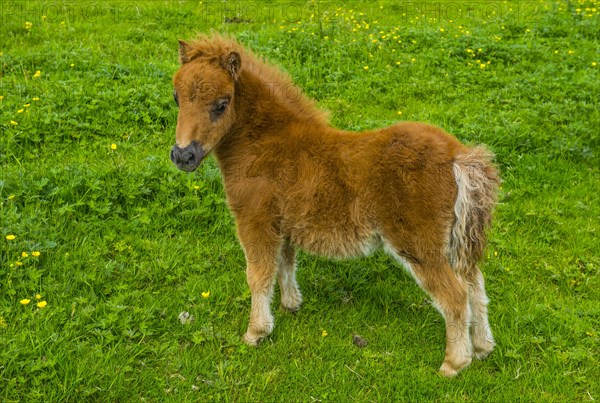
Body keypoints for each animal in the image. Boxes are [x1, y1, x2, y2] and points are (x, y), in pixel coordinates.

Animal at [170, 35, 502, 378]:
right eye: (176, 98)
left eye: (221, 104)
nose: (183, 156)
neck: (264, 144)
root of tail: (457, 156)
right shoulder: (284, 224)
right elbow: (285, 264)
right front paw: (291, 305)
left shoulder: (254, 221)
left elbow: (258, 274)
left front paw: (256, 332)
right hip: (456, 241)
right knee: (475, 286)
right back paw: (482, 348)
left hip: (420, 247)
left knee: (456, 297)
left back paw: (453, 363)